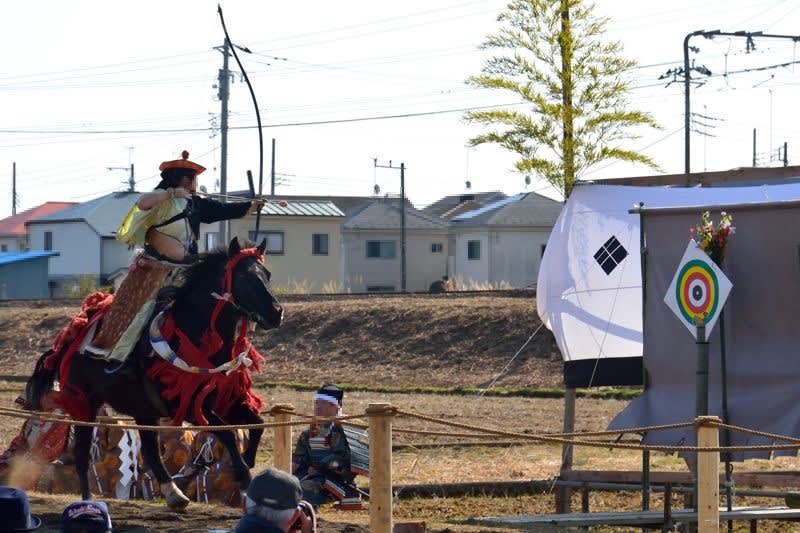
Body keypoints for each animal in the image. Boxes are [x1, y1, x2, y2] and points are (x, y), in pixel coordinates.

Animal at [26, 237, 282, 508]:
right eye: (244, 276)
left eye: (266, 274)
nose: (276, 312)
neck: (193, 336)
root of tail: (70, 337)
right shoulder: (189, 407)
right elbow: (229, 435)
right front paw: (244, 476)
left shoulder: (224, 400)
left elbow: (257, 424)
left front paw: (249, 461)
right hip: (84, 403)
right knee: (83, 456)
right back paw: (88, 503)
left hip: (142, 410)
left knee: (149, 451)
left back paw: (174, 494)